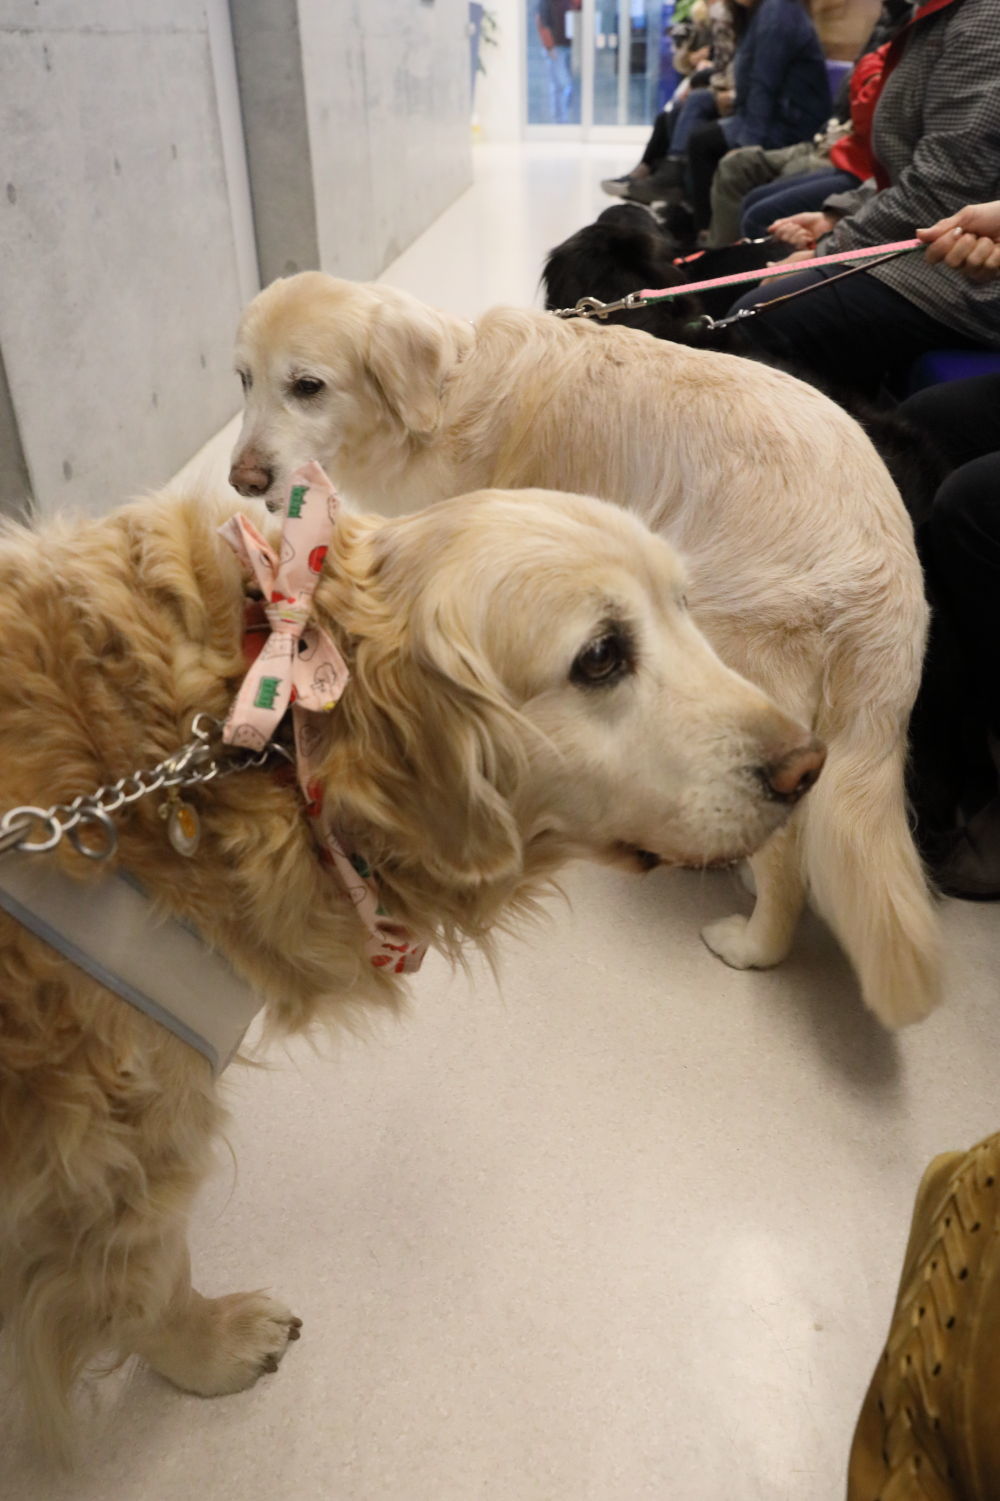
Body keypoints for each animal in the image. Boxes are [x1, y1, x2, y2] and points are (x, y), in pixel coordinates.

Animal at [0, 483, 816, 1452]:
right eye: (600, 657)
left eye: (685, 605)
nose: (809, 765)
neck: (274, 737)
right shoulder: (107, 1158)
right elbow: (151, 1279)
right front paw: (213, 1345)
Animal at [229, 273, 936, 1032]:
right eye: (244, 379)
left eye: (308, 386)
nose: (243, 479)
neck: (444, 393)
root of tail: (892, 582)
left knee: (787, 856)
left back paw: (751, 942)